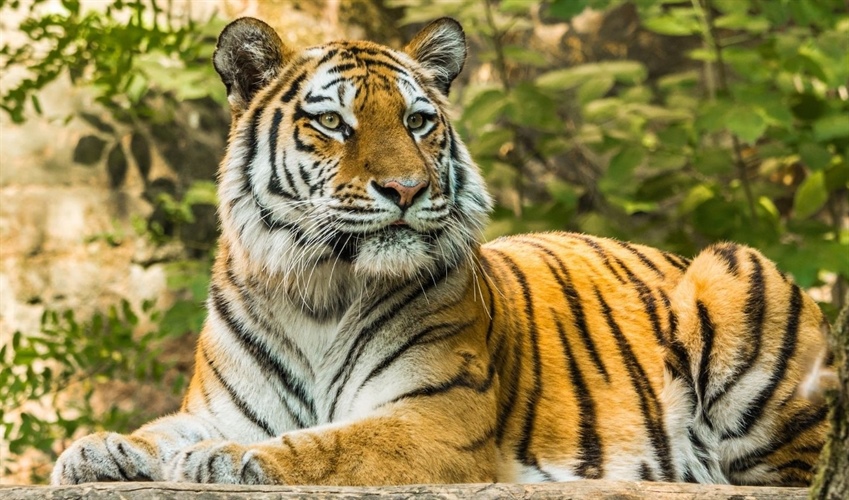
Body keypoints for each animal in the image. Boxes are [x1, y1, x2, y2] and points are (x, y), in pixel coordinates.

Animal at [52, 17, 834, 487]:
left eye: (418, 121)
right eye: (333, 124)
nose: (406, 187)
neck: (317, 287)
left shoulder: (438, 418)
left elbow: (331, 442)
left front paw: (227, 460)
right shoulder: (224, 402)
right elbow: (162, 427)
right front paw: (98, 448)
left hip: (731, 274)